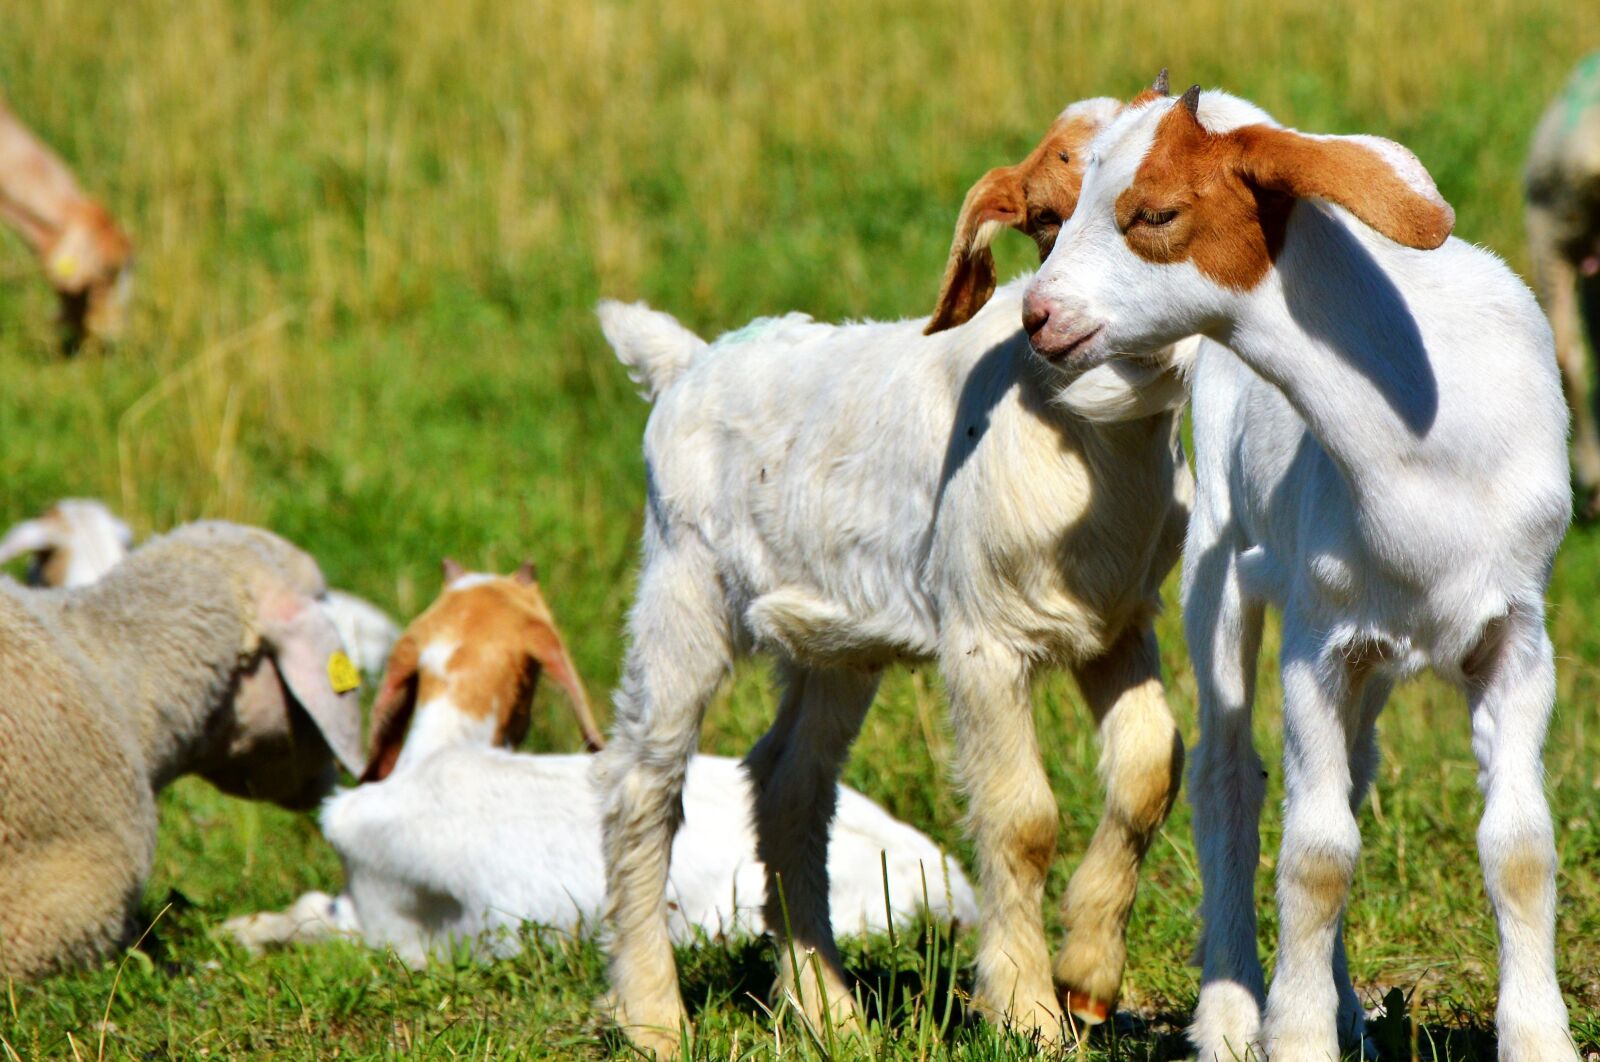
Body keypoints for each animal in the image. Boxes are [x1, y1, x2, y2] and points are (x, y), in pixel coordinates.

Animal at [1023, 83, 1579, 1061]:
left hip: (1380, 654)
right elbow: (1316, 854)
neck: (1420, 448)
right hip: (1219, 561)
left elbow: (1519, 845)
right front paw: (1296, 1033)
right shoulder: (1317, 644)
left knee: (1350, 773)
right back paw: (1231, 1013)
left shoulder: (1516, 633)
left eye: (1156, 215)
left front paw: (1540, 1039)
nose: (1037, 315)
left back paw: (1349, 1004)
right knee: (1227, 783)